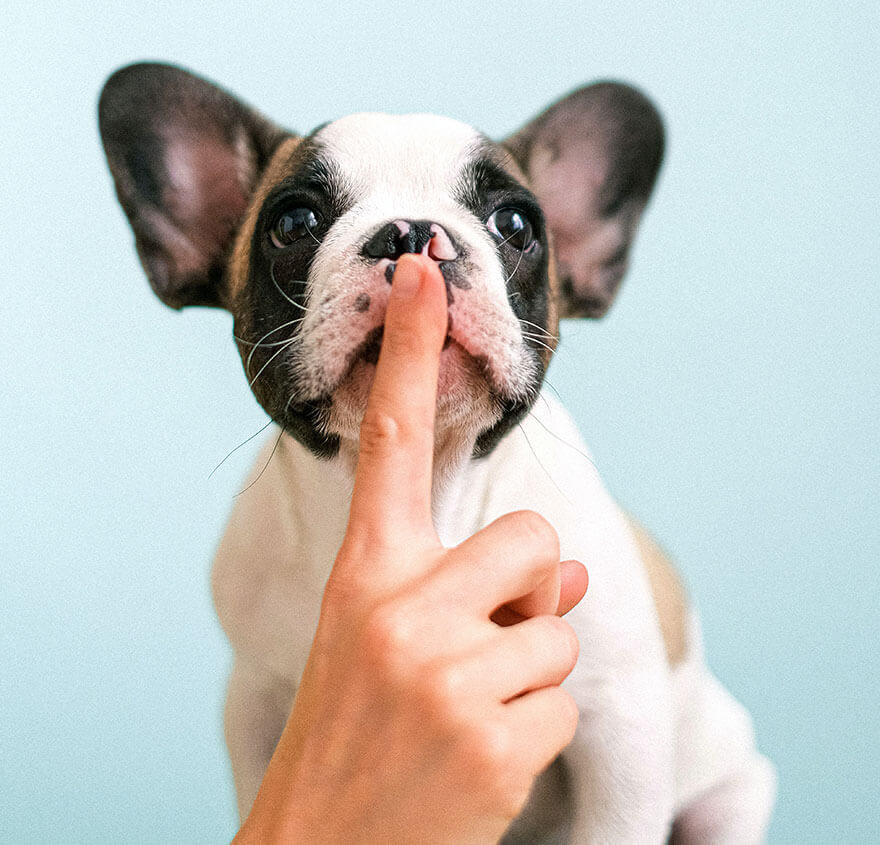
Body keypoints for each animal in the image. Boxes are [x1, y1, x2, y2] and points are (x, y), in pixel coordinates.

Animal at [99, 62, 772, 840]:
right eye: (292, 223)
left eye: (515, 224)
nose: (413, 232)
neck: (426, 499)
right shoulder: (258, 705)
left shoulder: (620, 732)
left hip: (730, 790)